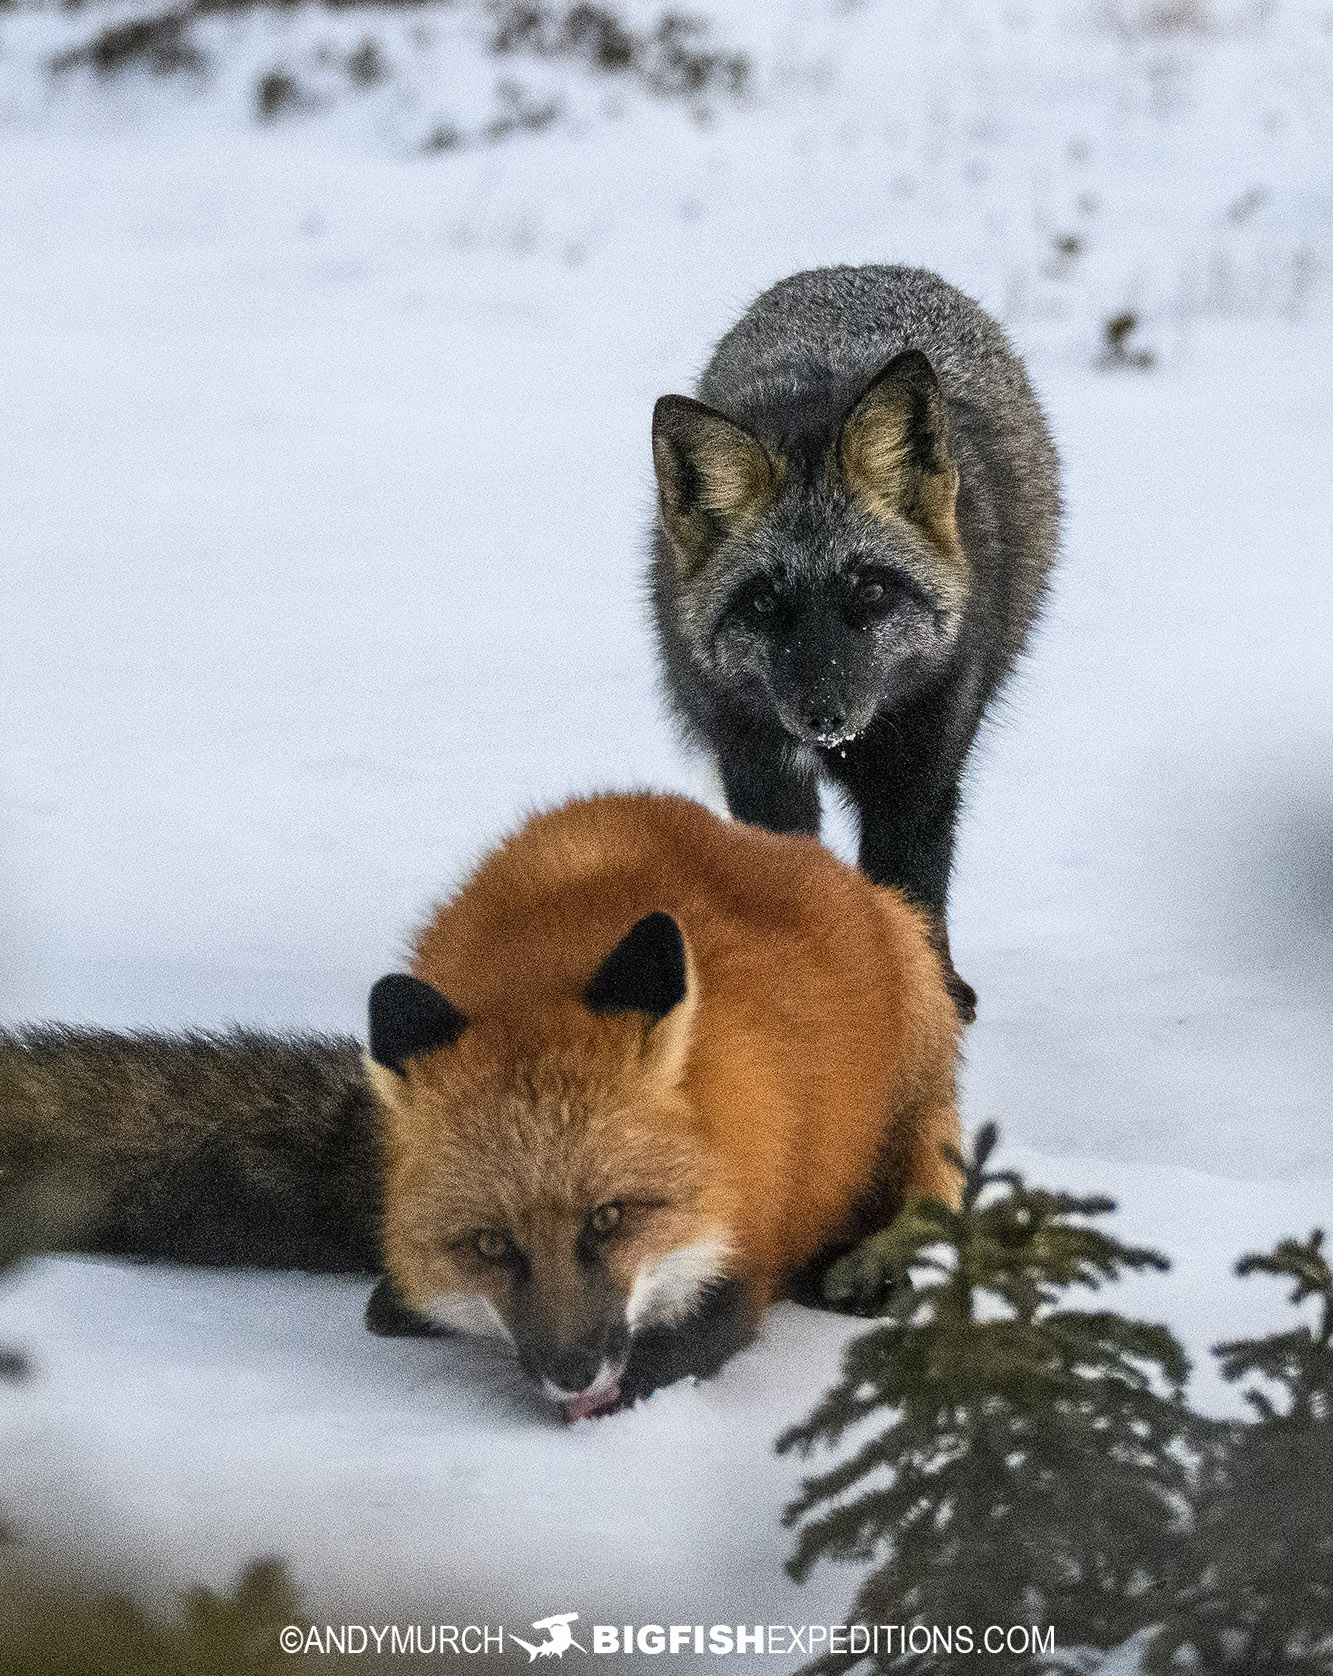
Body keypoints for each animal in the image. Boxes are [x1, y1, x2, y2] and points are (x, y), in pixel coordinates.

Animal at [650, 264, 1066, 1019]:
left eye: (869, 593)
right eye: (764, 602)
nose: (824, 715)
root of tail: (862, 269)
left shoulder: (919, 772)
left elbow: (910, 890)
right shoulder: (757, 764)